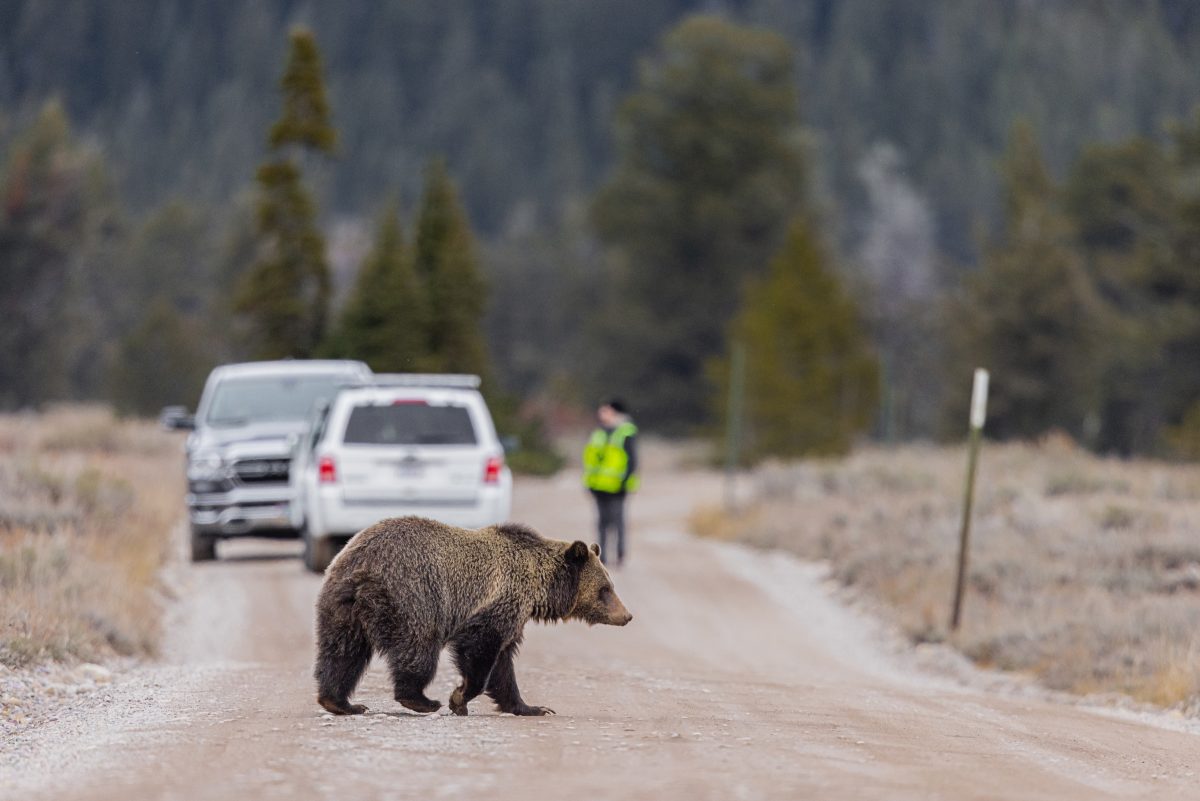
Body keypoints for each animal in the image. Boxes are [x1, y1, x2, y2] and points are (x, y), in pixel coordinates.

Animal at [313, 515, 633, 717]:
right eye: (605, 589)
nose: (627, 615)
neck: (540, 588)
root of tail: (362, 567)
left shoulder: (512, 615)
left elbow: (503, 666)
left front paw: (532, 707)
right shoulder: (497, 602)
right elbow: (480, 651)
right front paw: (459, 698)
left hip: (341, 605)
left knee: (342, 652)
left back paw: (340, 702)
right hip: (411, 596)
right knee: (418, 647)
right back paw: (421, 700)